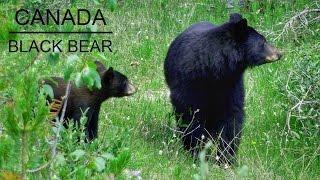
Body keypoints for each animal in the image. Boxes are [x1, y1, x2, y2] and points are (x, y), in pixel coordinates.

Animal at [164, 13, 282, 165]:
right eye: (263, 42)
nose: (280, 53)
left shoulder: (232, 84)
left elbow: (232, 118)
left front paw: (225, 157)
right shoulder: (188, 83)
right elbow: (189, 114)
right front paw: (195, 151)